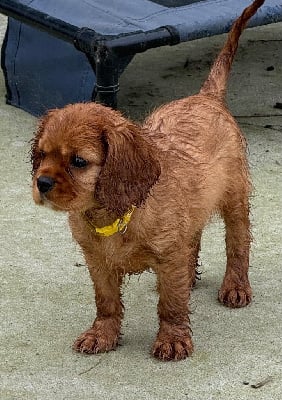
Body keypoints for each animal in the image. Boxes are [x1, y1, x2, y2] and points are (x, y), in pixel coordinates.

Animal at [30, 0, 262, 362]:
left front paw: (173, 339)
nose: (41, 183)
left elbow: (171, 304)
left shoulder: (168, 253)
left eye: (78, 162)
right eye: (41, 155)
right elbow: (106, 302)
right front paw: (102, 334)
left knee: (238, 243)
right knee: (193, 239)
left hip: (235, 197)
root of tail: (206, 97)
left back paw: (235, 286)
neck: (111, 214)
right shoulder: (97, 262)